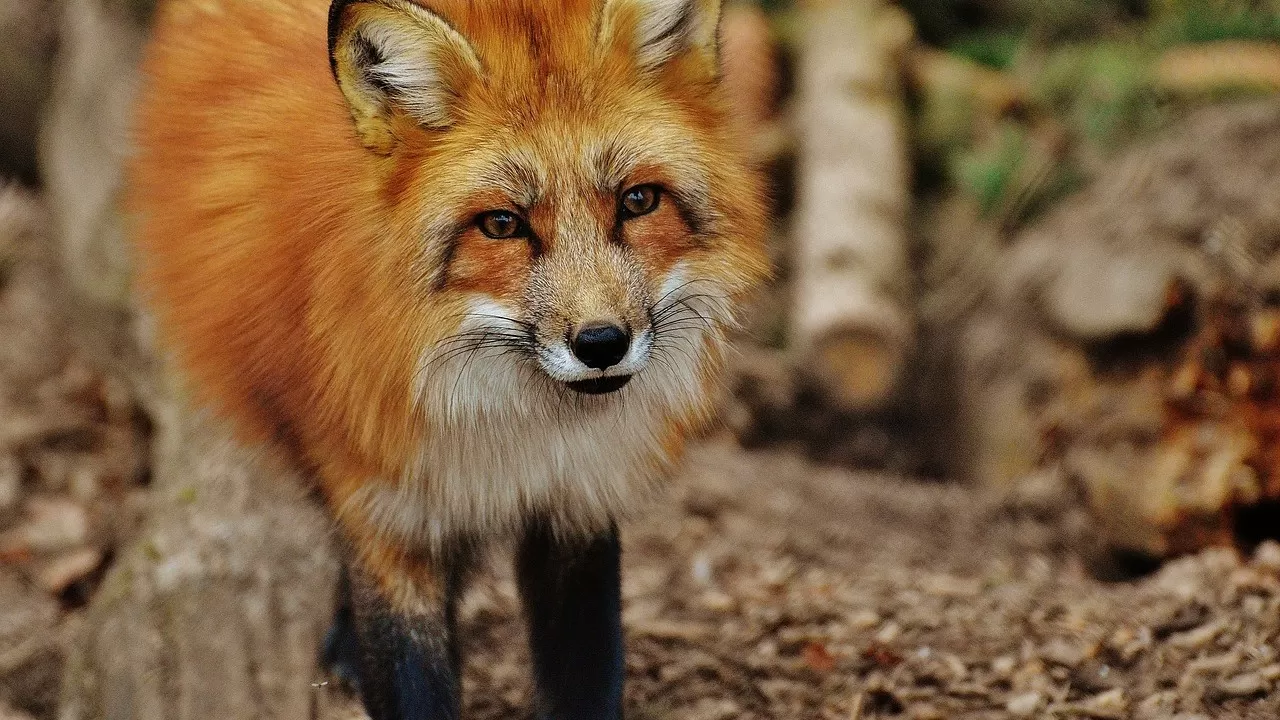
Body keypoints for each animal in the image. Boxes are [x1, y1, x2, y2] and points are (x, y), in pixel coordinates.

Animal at [127, 0, 768, 712]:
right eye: (502, 225)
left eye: (638, 201)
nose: (602, 343)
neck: (513, 430)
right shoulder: (386, 512)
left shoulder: (578, 503)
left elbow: (584, 677)